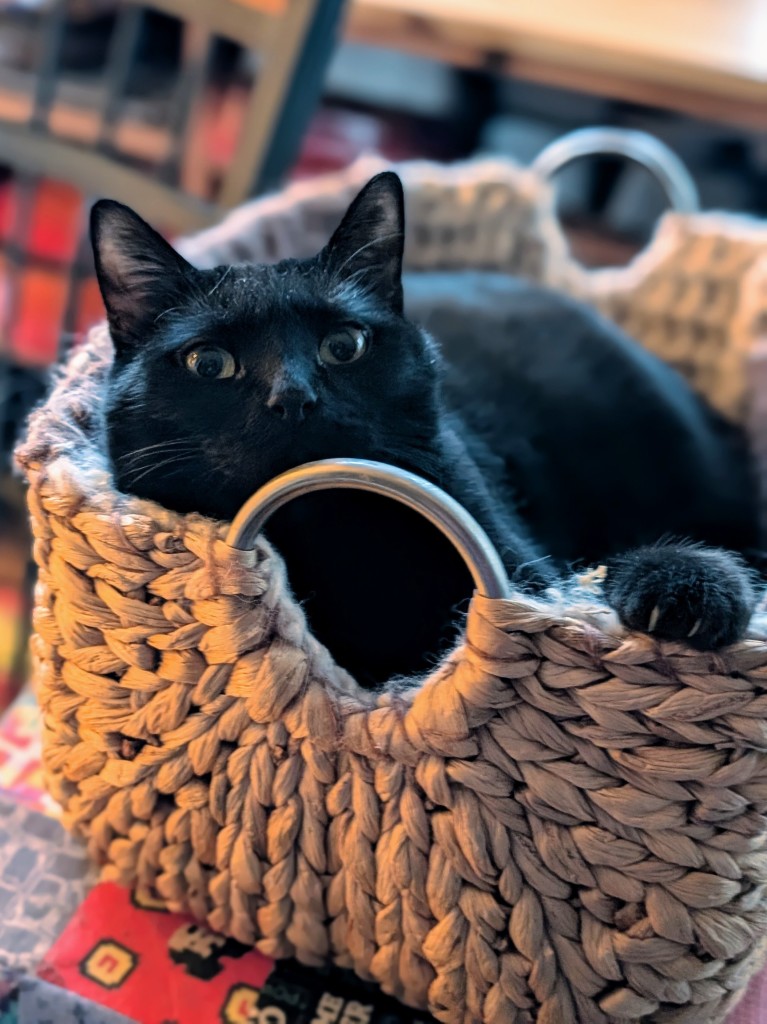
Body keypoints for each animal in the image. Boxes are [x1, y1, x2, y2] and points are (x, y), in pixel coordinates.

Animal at [89, 174, 761, 688]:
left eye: (344, 346)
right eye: (209, 363)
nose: (294, 398)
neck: (334, 539)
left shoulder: (528, 573)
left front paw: (688, 590)